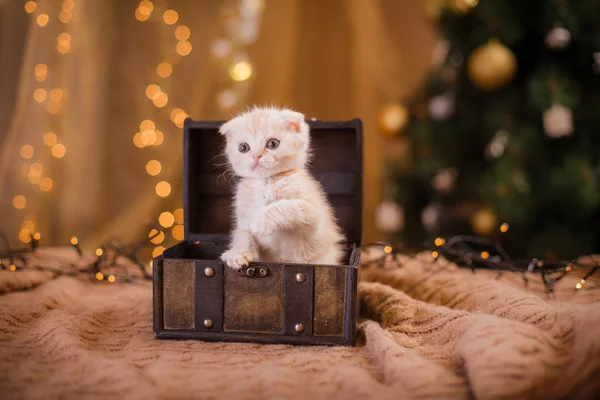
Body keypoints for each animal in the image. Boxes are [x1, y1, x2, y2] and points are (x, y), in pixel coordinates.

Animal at [220, 106, 344, 268]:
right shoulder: (243, 216)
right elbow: (243, 234)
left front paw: (261, 220)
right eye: (243, 147)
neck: (266, 182)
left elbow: (287, 206)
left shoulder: (315, 215)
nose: (256, 156)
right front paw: (238, 253)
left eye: (273, 144)